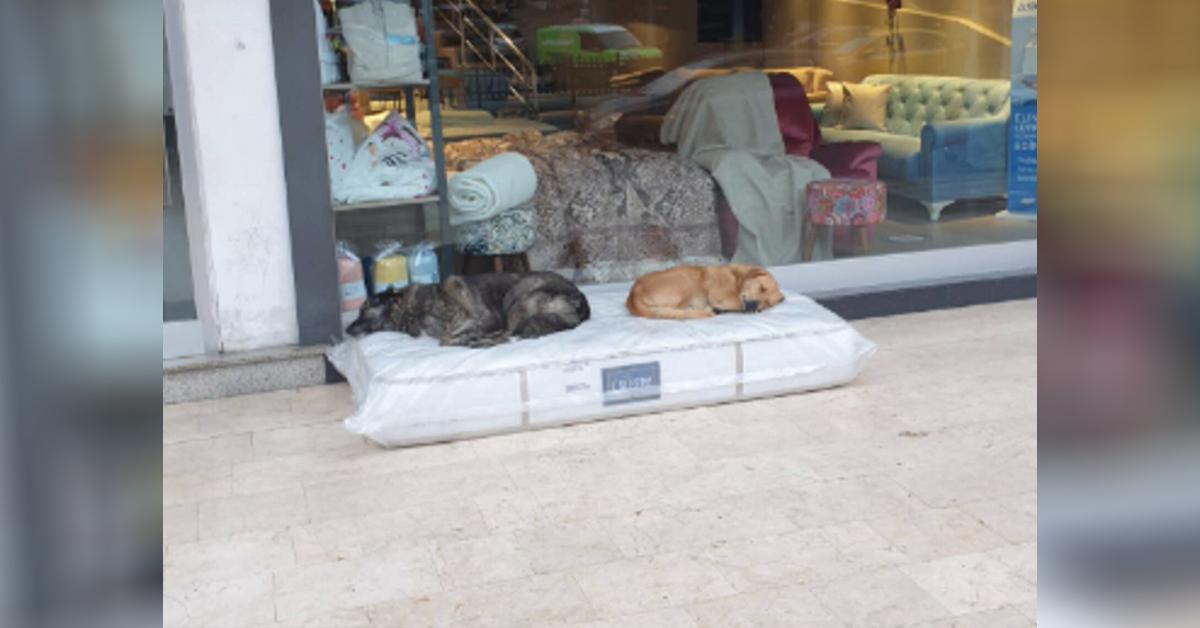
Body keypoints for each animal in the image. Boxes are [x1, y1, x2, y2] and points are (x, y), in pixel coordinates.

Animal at [346, 272, 590, 347]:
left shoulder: (482, 318)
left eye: (364, 309)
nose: (347, 330)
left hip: (517, 297)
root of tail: (581, 299)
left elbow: (446, 338)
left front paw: (467, 339)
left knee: (507, 335)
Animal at [626, 264, 785, 320]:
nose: (753, 308)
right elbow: (736, 303)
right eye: (762, 288)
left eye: (768, 303)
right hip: (684, 281)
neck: (737, 279)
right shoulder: (720, 296)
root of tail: (633, 293)